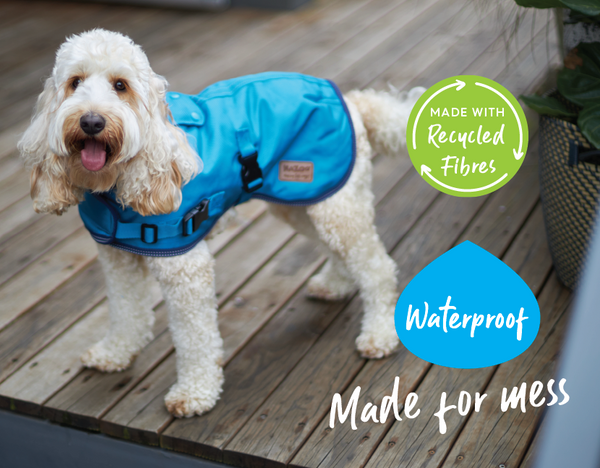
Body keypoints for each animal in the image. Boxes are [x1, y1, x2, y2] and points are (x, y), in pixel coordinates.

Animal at [17, 29, 422, 416]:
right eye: (75, 83)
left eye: (121, 85)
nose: (91, 121)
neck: (117, 185)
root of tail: (351, 101)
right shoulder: (118, 260)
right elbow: (125, 311)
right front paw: (115, 353)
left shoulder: (186, 269)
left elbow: (195, 339)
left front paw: (194, 394)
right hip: (305, 203)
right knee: (341, 251)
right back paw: (336, 284)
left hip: (335, 206)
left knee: (378, 268)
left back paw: (380, 334)